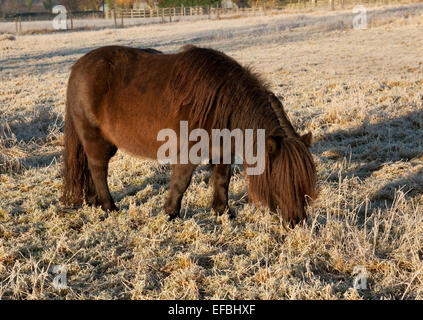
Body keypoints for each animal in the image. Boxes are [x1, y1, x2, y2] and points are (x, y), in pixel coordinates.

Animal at [61, 44, 316, 225]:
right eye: (281, 178)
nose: (297, 221)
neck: (222, 102)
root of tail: (79, 67)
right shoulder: (188, 152)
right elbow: (181, 183)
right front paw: (170, 214)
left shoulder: (223, 152)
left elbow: (222, 181)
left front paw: (223, 212)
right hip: (96, 139)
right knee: (98, 169)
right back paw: (109, 207)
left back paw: (93, 202)